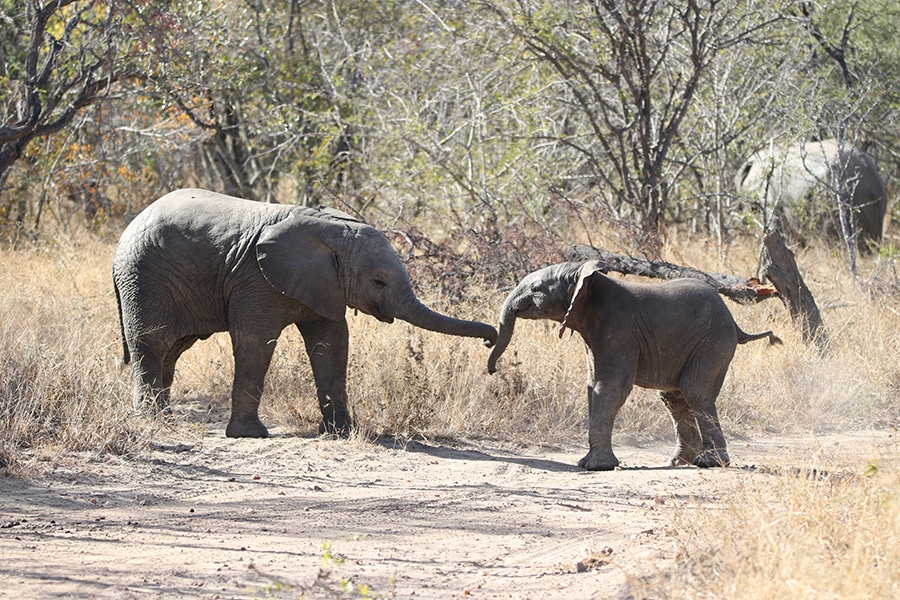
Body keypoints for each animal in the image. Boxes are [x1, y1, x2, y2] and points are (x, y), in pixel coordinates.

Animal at [112, 188, 500, 436]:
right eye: (378, 282)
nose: (490, 342)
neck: (332, 230)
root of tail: (127, 229)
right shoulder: (256, 279)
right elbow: (256, 343)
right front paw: (250, 435)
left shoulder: (324, 284)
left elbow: (332, 344)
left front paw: (341, 433)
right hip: (144, 278)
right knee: (152, 344)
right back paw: (153, 423)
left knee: (173, 349)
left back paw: (164, 419)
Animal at [486, 260, 780, 472]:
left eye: (536, 289)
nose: (492, 369)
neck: (590, 281)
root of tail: (736, 325)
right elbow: (592, 386)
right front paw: (588, 463)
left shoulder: (619, 331)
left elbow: (610, 388)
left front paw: (596, 467)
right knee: (674, 397)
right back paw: (678, 462)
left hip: (713, 342)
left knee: (696, 393)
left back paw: (709, 463)